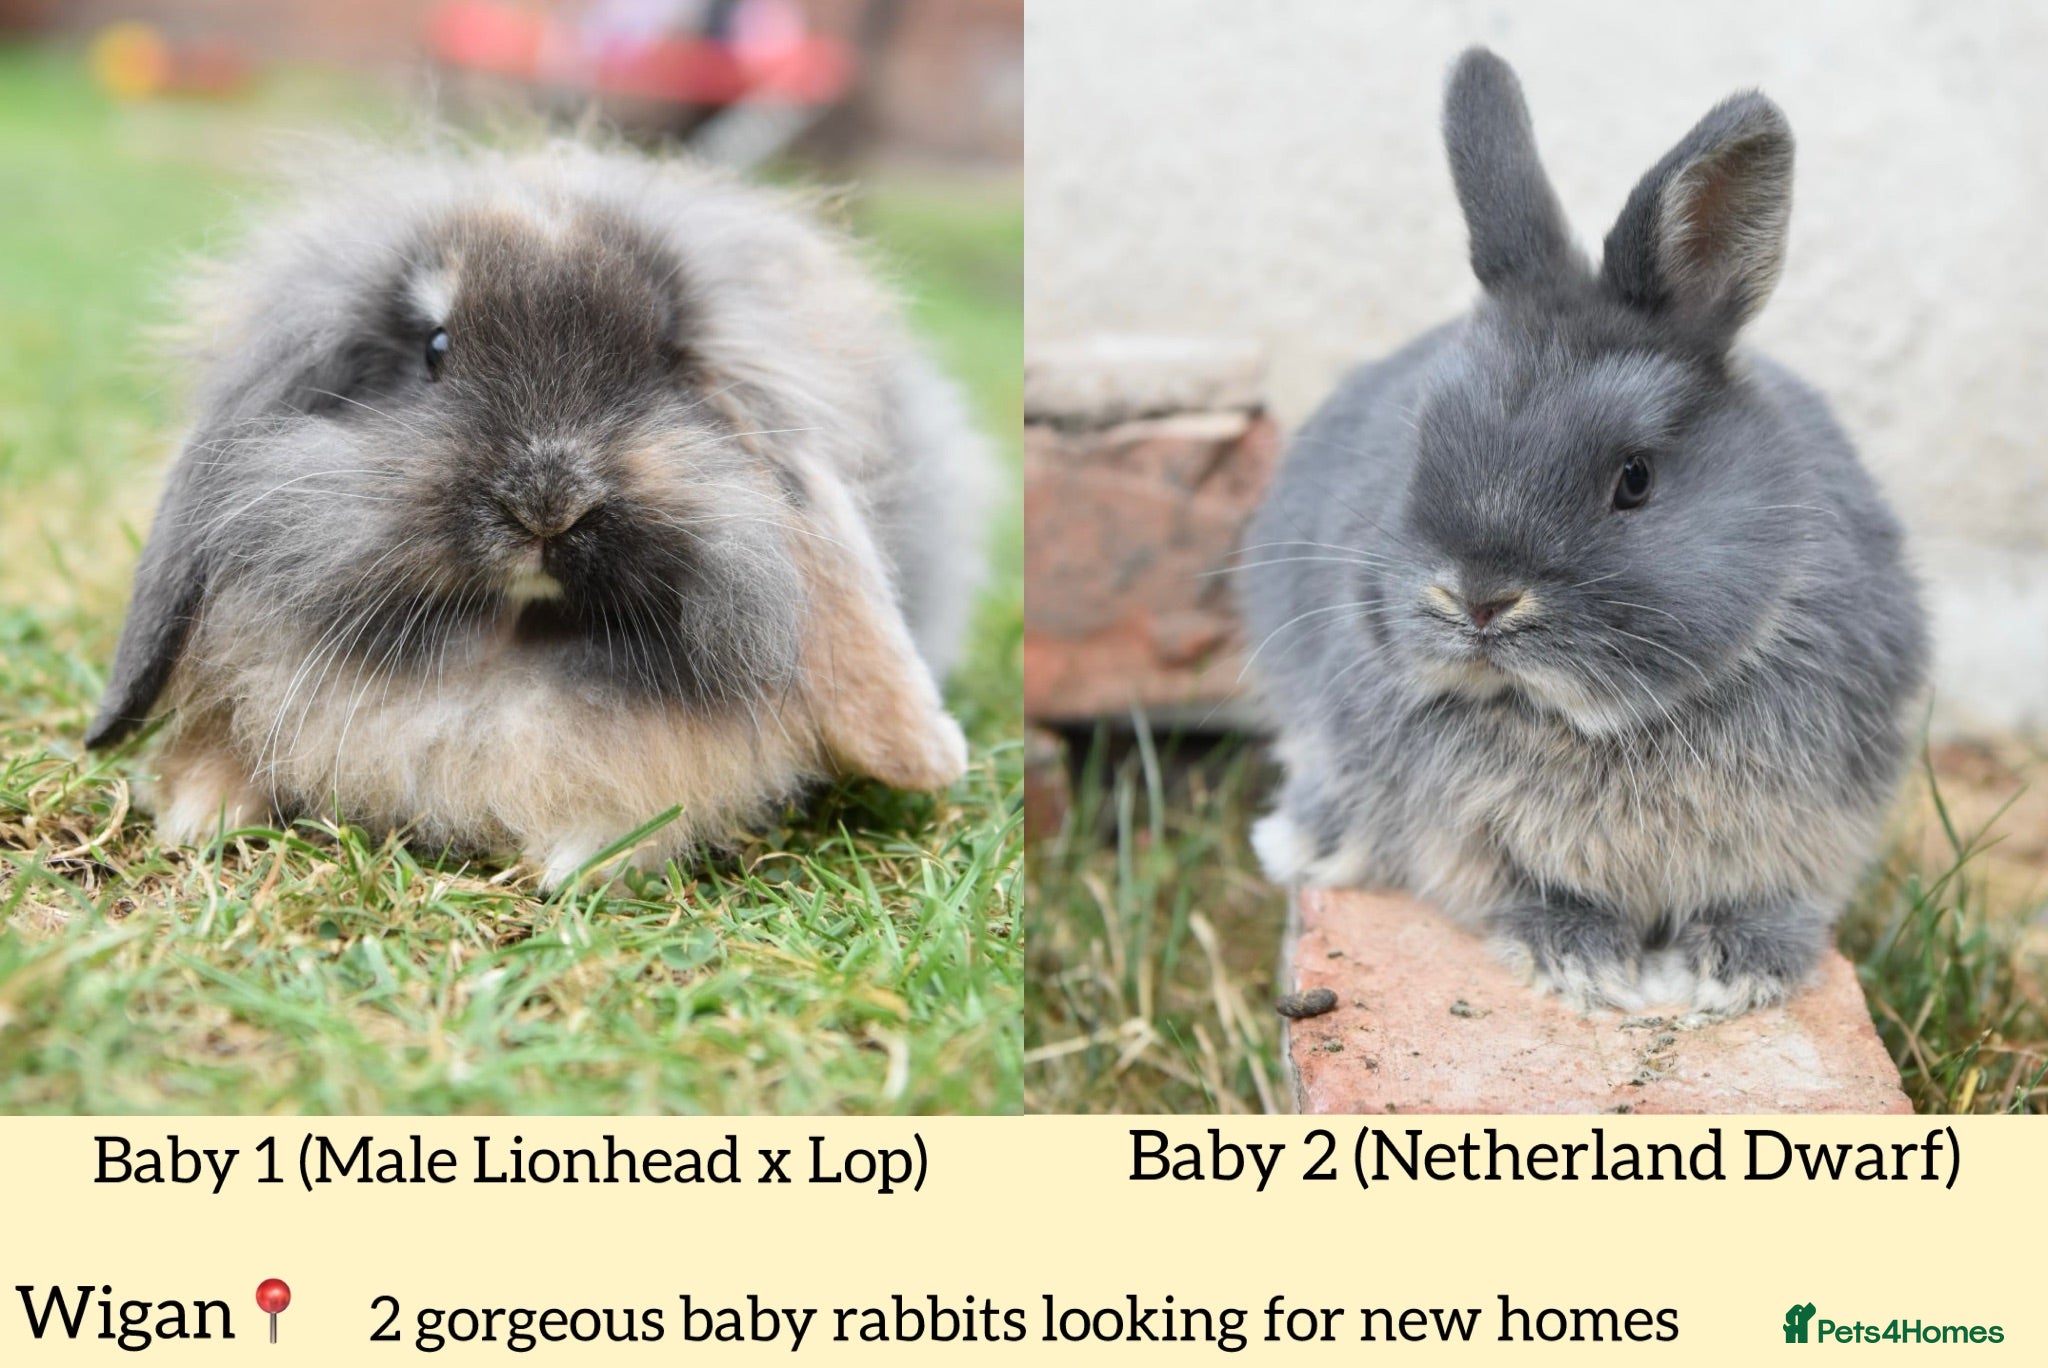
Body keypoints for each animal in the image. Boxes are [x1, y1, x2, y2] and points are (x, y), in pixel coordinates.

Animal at [85, 136, 994, 888]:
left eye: (665, 360)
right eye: (435, 349)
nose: (548, 504)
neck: (506, 647)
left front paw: (577, 862)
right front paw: (195, 815)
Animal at [1237, 49, 1927, 1019]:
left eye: (1633, 479)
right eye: (1422, 441)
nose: (1479, 599)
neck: (1580, 723)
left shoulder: (1812, 827)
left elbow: (1768, 901)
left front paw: (1734, 974)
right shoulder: (1475, 836)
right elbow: (1534, 890)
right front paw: (1584, 963)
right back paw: (1308, 839)